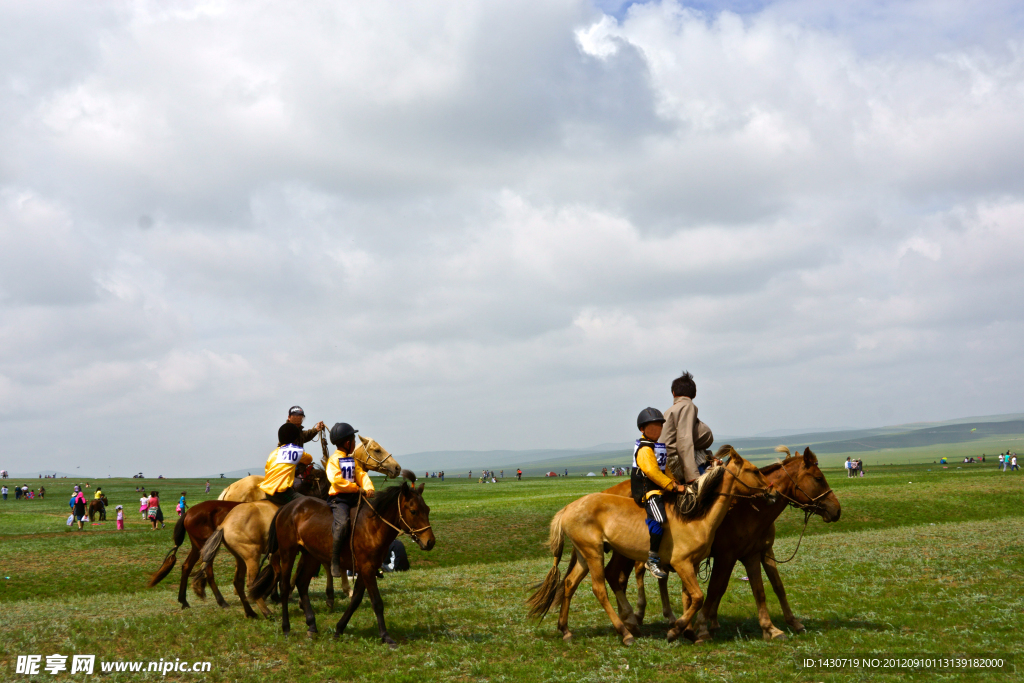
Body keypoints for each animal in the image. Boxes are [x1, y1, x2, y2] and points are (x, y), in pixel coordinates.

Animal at [252, 473, 440, 651]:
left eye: (427, 509)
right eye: (413, 511)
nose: (430, 542)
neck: (373, 527)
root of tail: (287, 508)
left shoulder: (367, 569)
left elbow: (356, 600)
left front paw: (339, 629)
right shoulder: (367, 569)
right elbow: (377, 603)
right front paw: (386, 637)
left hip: (311, 556)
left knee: (302, 583)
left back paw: (312, 626)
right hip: (288, 553)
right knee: (285, 586)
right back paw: (286, 628)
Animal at [528, 448, 774, 647]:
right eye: (754, 470)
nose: (772, 491)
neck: (696, 517)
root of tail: (567, 508)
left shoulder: (692, 565)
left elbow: (689, 598)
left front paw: (689, 632)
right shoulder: (682, 564)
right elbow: (698, 597)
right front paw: (675, 630)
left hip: (584, 555)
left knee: (570, 584)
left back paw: (566, 630)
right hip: (594, 553)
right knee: (599, 589)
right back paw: (626, 632)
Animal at [598, 446, 839, 643]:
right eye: (818, 478)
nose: (836, 510)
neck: (747, 509)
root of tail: (607, 492)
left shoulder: (756, 552)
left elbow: (768, 588)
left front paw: (777, 627)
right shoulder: (726, 555)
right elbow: (716, 588)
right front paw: (703, 627)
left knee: (627, 576)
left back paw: (640, 619)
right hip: (627, 552)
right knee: (623, 575)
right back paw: (635, 618)